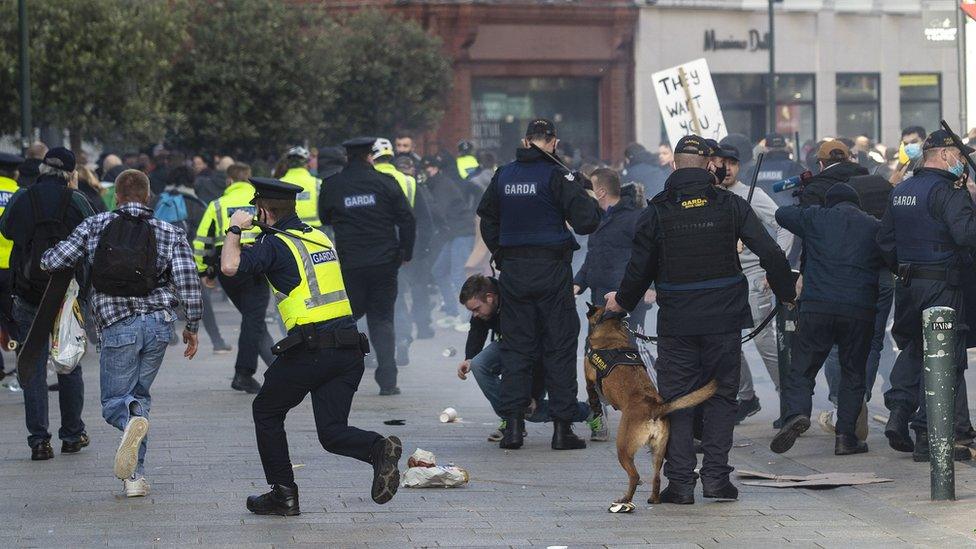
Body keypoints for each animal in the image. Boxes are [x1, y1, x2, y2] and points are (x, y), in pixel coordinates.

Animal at [580, 304, 716, 506]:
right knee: (657, 478)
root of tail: (655, 407)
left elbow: (592, 394)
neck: (611, 330)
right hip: (657, 452)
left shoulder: (589, 378)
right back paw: (654, 499)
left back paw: (626, 500)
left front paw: (596, 407)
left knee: (635, 476)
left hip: (624, 449)